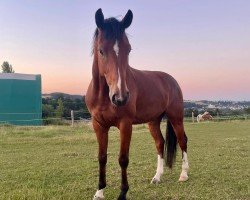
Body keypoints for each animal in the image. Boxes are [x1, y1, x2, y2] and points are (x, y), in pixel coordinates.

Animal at [86, 8, 189, 199]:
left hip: (176, 117)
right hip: (153, 121)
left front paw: (123, 193)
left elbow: (123, 158)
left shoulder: (125, 124)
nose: (120, 97)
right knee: (160, 143)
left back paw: (184, 174)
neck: (104, 96)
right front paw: (99, 192)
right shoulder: (99, 125)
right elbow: (102, 157)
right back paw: (157, 177)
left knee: (182, 140)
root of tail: (170, 79)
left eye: (128, 50)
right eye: (101, 50)